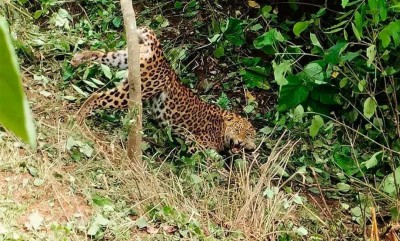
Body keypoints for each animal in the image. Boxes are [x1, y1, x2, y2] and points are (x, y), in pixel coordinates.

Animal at [70, 26, 256, 153]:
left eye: (249, 136)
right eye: (241, 132)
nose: (246, 144)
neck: (222, 125)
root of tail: (161, 55)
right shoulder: (196, 146)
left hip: (124, 58)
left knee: (101, 53)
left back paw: (78, 58)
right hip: (136, 89)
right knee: (97, 95)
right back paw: (78, 117)